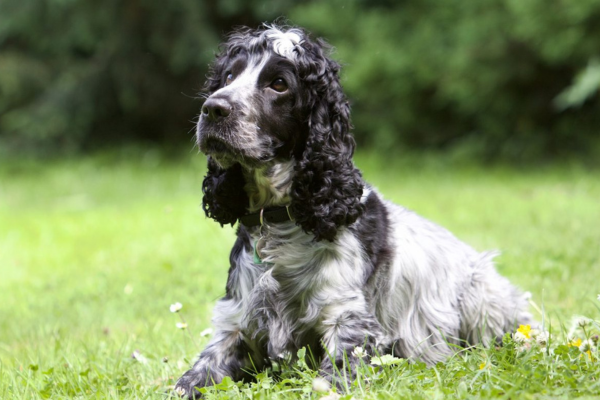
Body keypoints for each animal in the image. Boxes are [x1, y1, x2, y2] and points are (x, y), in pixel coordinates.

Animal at [175, 24, 536, 396]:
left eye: (279, 84)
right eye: (228, 76)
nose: (213, 109)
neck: (279, 223)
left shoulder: (349, 322)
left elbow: (331, 378)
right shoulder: (236, 324)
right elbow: (190, 380)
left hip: (482, 297)